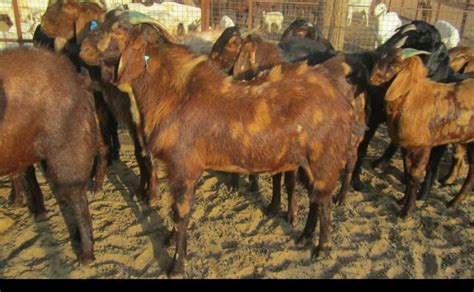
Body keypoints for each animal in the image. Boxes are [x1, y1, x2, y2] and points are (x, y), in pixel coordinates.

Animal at [114, 24, 356, 276]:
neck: (175, 97)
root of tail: (344, 103)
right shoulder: (176, 170)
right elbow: (176, 210)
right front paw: (171, 241)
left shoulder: (184, 168)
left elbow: (181, 214)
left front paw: (176, 266)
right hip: (309, 164)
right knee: (315, 199)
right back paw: (304, 236)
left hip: (324, 160)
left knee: (325, 204)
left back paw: (322, 249)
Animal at [370, 48, 474, 217]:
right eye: (380, 58)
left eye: (394, 64)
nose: (372, 79)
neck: (412, 98)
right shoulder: (406, 147)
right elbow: (407, 172)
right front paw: (402, 201)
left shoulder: (423, 147)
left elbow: (414, 175)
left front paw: (408, 211)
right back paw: (453, 202)